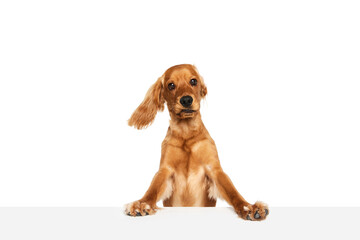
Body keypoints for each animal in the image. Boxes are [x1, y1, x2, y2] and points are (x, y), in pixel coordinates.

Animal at [125, 64, 268, 221]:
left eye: (193, 81)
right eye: (171, 85)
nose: (186, 100)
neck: (187, 134)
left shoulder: (214, 170)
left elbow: (233, 192)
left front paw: (249, 207)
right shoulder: (165, 170)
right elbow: (152, 190)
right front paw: (141, 204)